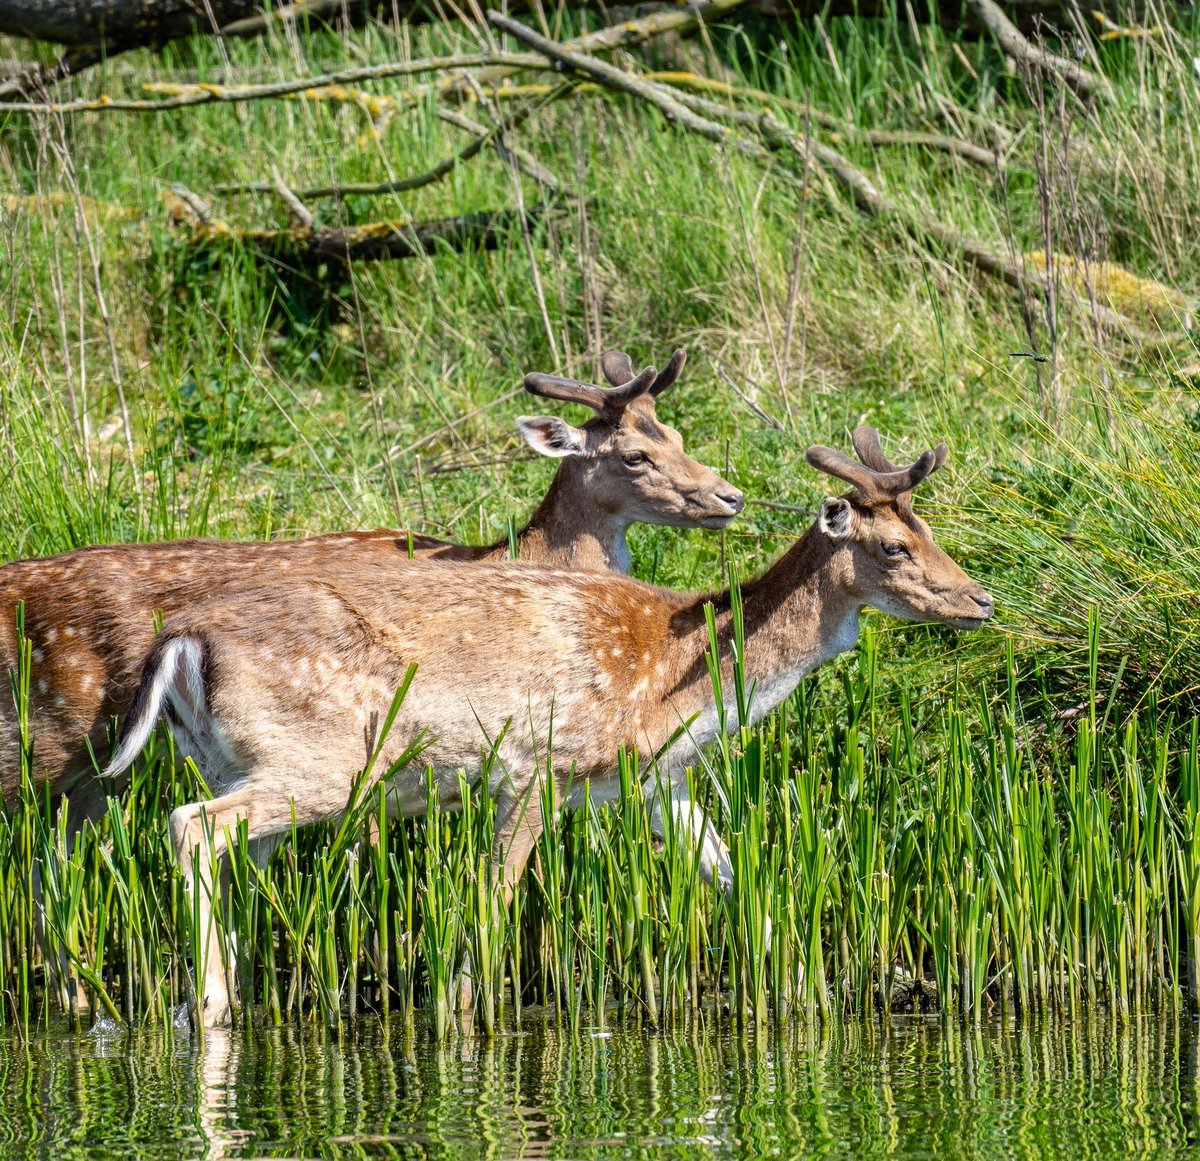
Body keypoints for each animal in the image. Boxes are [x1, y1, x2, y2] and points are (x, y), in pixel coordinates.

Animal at [103, 426, 988, 1026]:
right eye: (892, 546)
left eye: (930, 531)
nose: (981, 599)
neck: (676, 678)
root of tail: (180, 642)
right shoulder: (537, 766)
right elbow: (492, 901)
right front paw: (460, 1010)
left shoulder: (656, 783)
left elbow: (734, 875)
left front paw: (809, 988)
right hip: (320, 763)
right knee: (188, 824)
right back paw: (209, 1007)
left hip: (238, 760)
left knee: (226, 853)